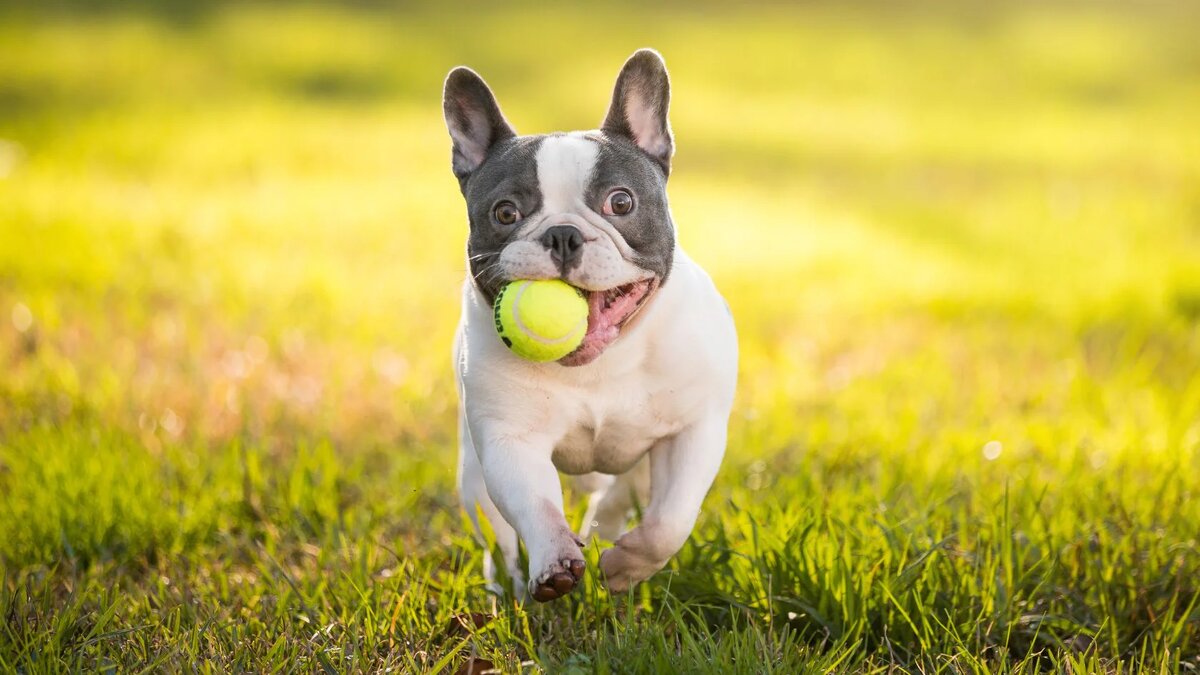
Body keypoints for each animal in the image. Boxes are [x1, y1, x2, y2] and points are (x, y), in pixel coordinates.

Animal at [446, 49, 734, 600]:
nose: (562, 234)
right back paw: (506, 584)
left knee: (623, 496)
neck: (601, 362)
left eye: (620, 203)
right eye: (505, 213)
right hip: (472, 475)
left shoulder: (693, 431)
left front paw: (625, 567)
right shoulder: (510, 441)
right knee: (496, 534)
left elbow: (670, 521)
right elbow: (536, 506)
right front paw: (555, 562)